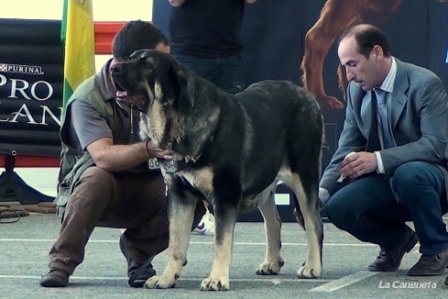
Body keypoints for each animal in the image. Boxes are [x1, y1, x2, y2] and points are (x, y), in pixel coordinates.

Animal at [110, 50, 324, 292]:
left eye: (147, 64)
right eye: (130, 58)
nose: (114, 68)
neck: (178, 122)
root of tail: (308, 97)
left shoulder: (225, 195)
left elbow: (221, 242)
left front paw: (217, 279)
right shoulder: (179, 194)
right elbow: (176, 242)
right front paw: (166, 278)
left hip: (304, 178)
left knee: (314, 223)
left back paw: (312, 267)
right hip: (264, 183)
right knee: (274, 221)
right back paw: (271, 263)